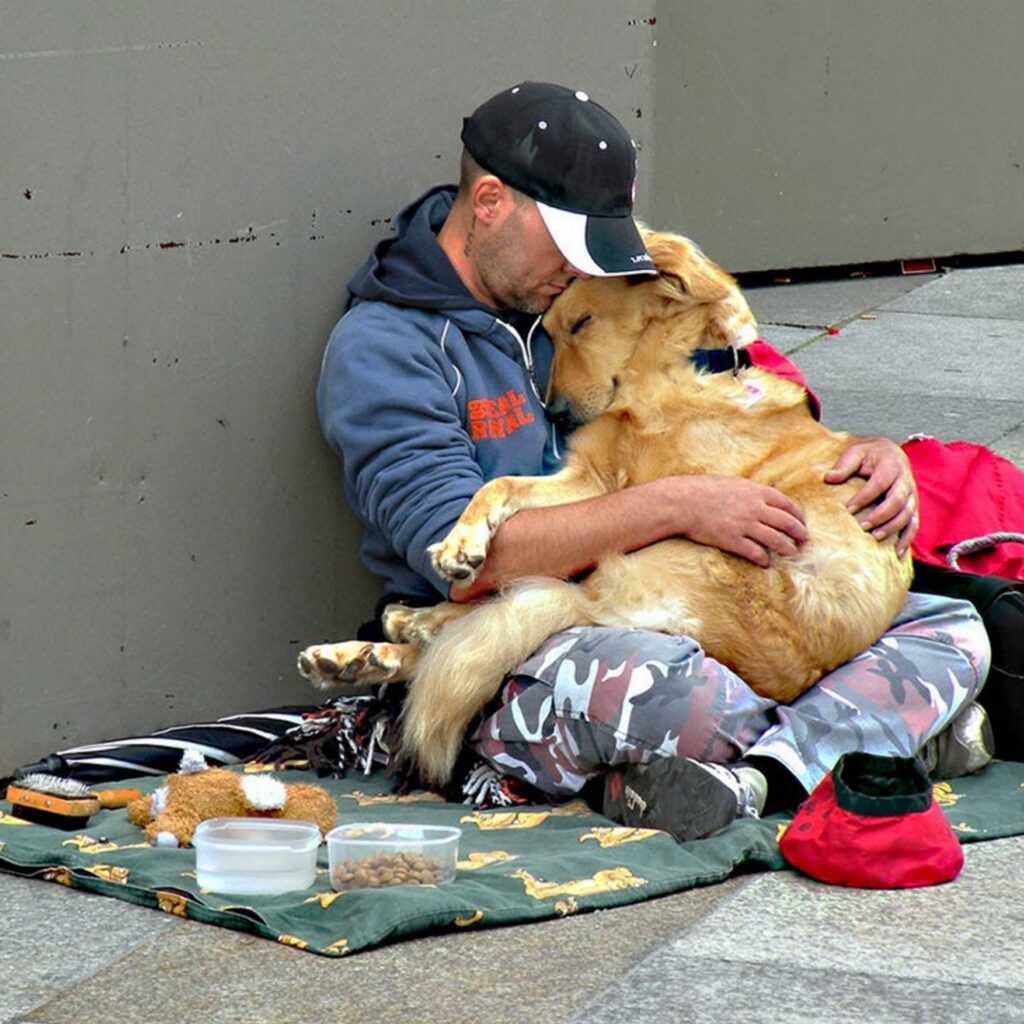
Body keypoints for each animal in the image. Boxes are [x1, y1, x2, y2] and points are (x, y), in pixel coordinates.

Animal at [301, 232, 913, 786]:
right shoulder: (589, 477)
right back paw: (360, 653)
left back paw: (395, 632)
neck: (665, 369)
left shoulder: (618, 485)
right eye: (548, 331)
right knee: (473, 632)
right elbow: (498, 485)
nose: (556, 412)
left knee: (483, 626)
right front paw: (462, 540)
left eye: (581, 324)